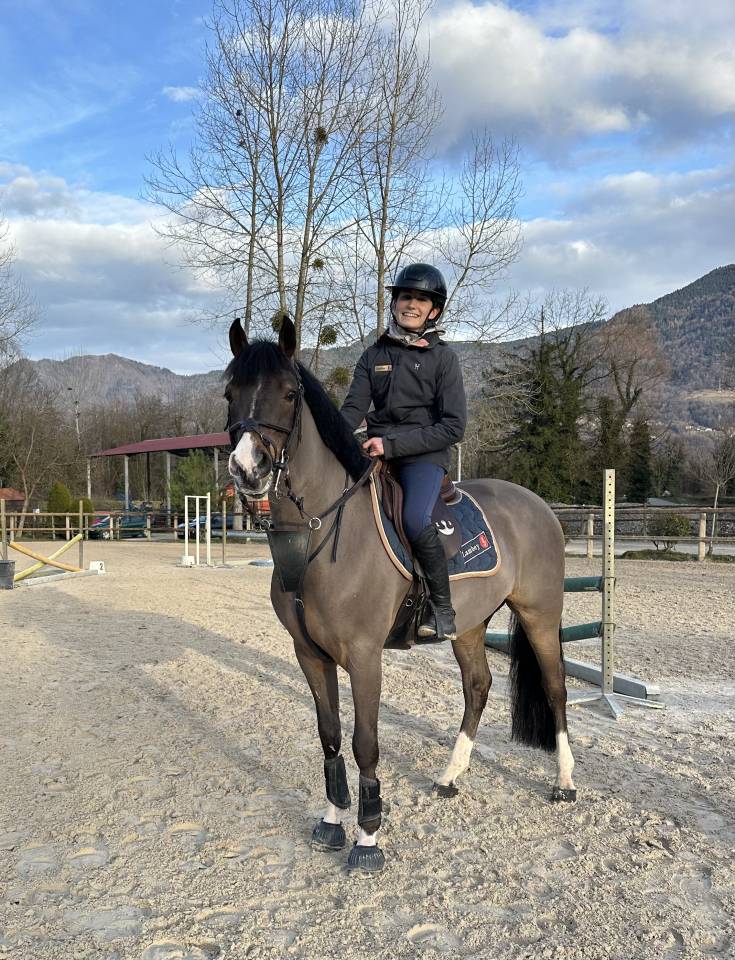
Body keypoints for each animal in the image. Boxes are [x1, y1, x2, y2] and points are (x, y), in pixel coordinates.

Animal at [225, 316, 576, 874]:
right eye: (230, 393)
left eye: (288, 393)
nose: (247, 468)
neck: (321, 532)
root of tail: (536, 503)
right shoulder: (309, 654)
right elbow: (329, 736)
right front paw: (332, 822)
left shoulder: (365, 656)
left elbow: (365, 743)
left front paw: (368, 838)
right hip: (469, 625)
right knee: (478, 687)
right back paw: (450, 777)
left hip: (540, 615)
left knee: (556, 687)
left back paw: (564, 782)